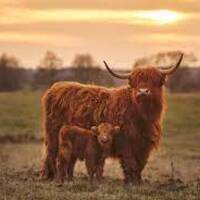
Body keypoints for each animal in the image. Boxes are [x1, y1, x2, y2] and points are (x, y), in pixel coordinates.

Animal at [41, 53, 184, 184]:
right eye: (135, 82)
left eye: (154, 81)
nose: (143, 91)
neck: (142, 116)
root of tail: (55, 87)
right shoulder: (126, 142)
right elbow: (130, 163)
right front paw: (130, 182)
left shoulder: (144, 145)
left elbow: (140, 164)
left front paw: (139, 181)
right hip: (53, 134)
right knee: (52, 154)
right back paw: (50, 176)